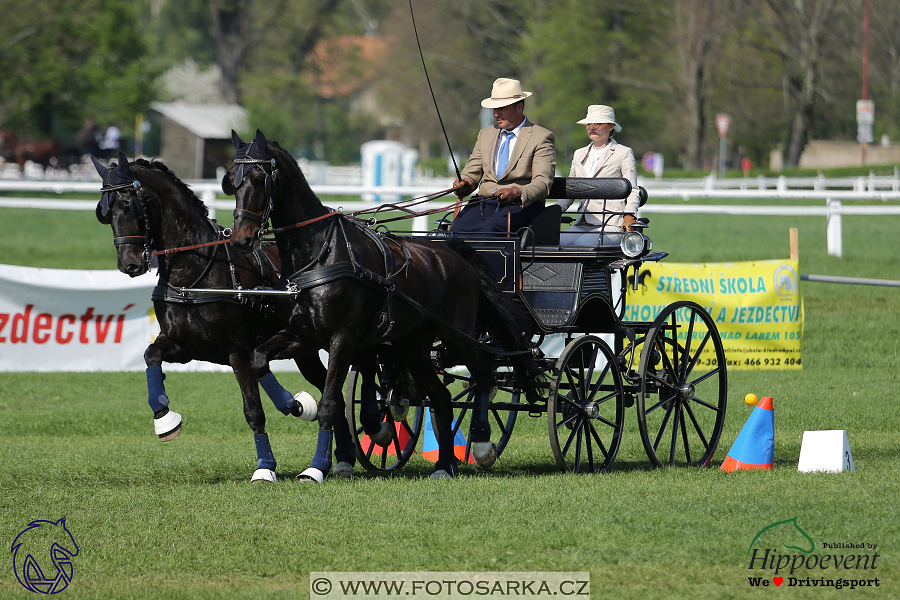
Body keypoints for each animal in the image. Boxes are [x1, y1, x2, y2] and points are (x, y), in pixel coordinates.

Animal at [94, 154, 342, 482]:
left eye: (129, 203)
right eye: (104, 211)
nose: (129, 264)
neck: (197, 273)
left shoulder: (237, 352)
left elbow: (254, 410)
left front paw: (266, 466)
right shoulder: (184, 347)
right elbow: (151, 355)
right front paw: (164, 418)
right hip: (305, 349)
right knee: (331, 391)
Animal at [225, 129, 540, 480]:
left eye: (259, 179)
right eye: (231, 182)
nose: (240, 239)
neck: (319, 252)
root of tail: (456, 254)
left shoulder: (342, 339)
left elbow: (330, 404)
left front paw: (317, 467)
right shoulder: (303, 336)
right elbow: (258, 358)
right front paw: (294, 405)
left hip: (457, 337)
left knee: (484, 373)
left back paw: (482, 445)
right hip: (413, 347)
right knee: (443, 398)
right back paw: (444, 465)